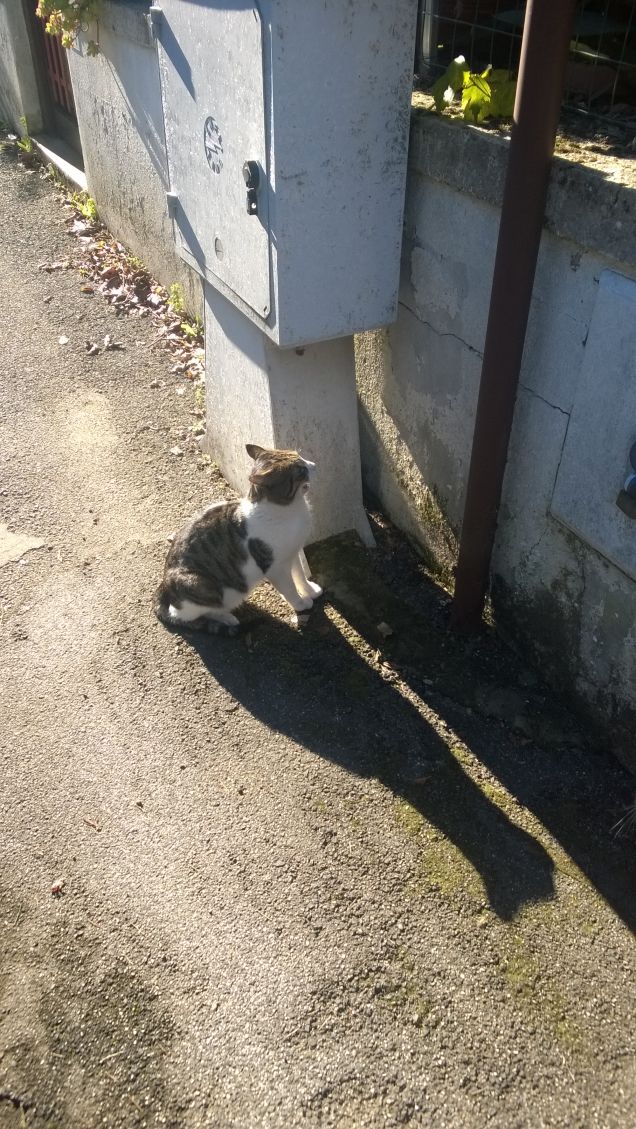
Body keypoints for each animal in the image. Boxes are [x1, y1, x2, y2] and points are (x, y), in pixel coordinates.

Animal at [152, 442, 323, 636]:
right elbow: (289, 588)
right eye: (301, 470)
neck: (291, 510)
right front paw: (300, 604)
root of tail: (163, 586)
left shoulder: (294, 552)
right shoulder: (276, 567)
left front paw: (309, 591)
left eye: (300, 457)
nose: (314, 465)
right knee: (189, 614)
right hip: (204, 586)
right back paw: (226, 618)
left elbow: (299, 575)